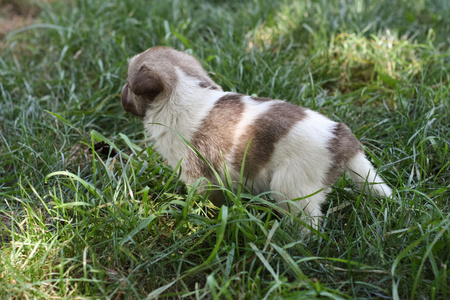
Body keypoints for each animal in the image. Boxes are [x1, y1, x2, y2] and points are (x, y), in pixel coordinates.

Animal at [121, 47, 392, 229]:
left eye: (128, 83)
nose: (120, 94)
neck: (182, 90)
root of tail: (340, 138)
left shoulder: (197, 176)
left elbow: (201, 200)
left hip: (290, 188)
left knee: (308, 225)